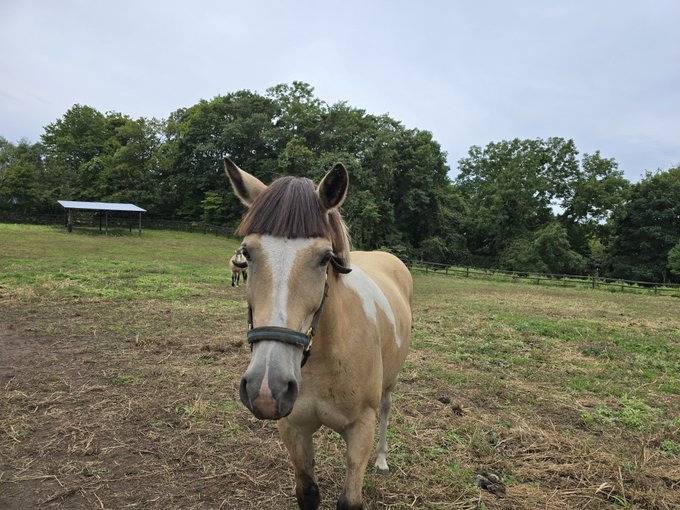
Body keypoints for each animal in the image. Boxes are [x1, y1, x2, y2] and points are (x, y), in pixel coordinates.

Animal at [226, 159, 412, 510]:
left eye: (325, 258)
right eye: (248, 252)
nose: (267, 388)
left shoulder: (361, 429)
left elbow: (350, 500)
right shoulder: (293, 428)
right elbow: (308, 493)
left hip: (389, 384)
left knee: (386, 408)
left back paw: (382, 460)